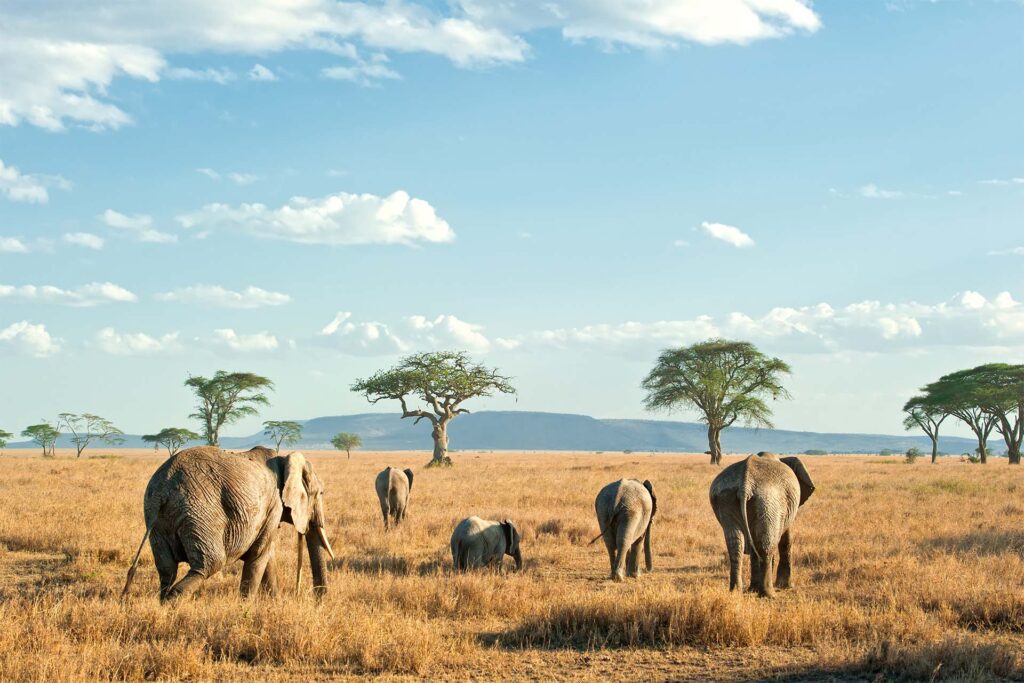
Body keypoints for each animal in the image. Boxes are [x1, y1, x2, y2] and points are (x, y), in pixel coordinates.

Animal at [121, 446, 333, 602]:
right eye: (320, 493)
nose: (319, 601)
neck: (284, 459)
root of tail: (163, 489)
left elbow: (267, 555)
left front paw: (275, 604)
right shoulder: (274, 505)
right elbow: (259, 555)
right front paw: (245, 608)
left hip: (156, 518)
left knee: (167, 569)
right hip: (200, 513)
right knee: (209, 564)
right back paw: (173, 605)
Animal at [712, 454, 815, 598]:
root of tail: (745, 485)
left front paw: (753, 589)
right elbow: (786, 539)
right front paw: (786, 586)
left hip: (726, 497)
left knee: (735, 544)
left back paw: (735, 592)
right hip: (768, 501)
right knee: (765, 544)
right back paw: (769, 594)